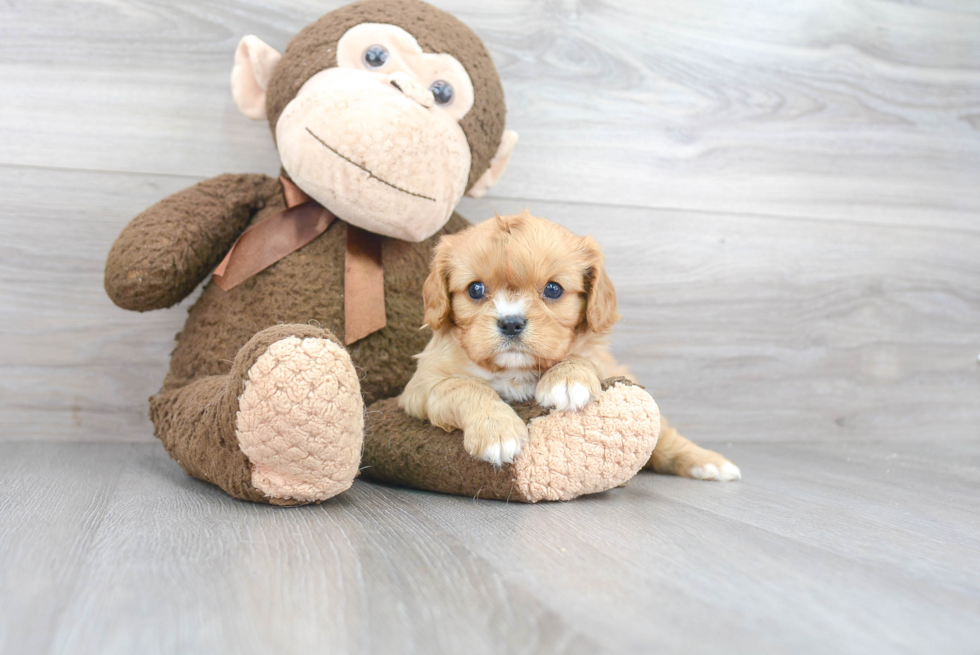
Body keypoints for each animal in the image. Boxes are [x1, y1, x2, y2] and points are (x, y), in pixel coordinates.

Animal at [402, 211, 740, 482]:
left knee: (667, 440)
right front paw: (496, 430)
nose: (511, 323)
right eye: (475, 290)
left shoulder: (602, 361)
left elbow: (581, 355)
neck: (515, 370)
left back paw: (709, 463)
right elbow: (465, 386)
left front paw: (567, 378)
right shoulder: (422, 386)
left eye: (553, 289)